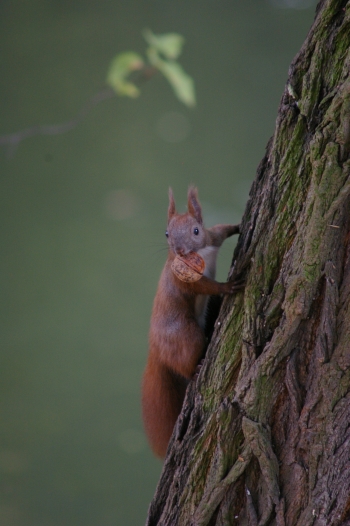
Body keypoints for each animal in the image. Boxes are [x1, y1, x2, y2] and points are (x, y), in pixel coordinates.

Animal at [142, 188, 241, 460]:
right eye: (166, 234)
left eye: (196, 230)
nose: (180, 250)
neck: (200, 254)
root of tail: (156, 348)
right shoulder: (185, 280)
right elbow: (206, 287)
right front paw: (227, 287)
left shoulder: (212, 236)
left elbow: (221, 229)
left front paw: (239, 225)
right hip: (187, 336)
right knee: (187, 363)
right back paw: (195, 370)